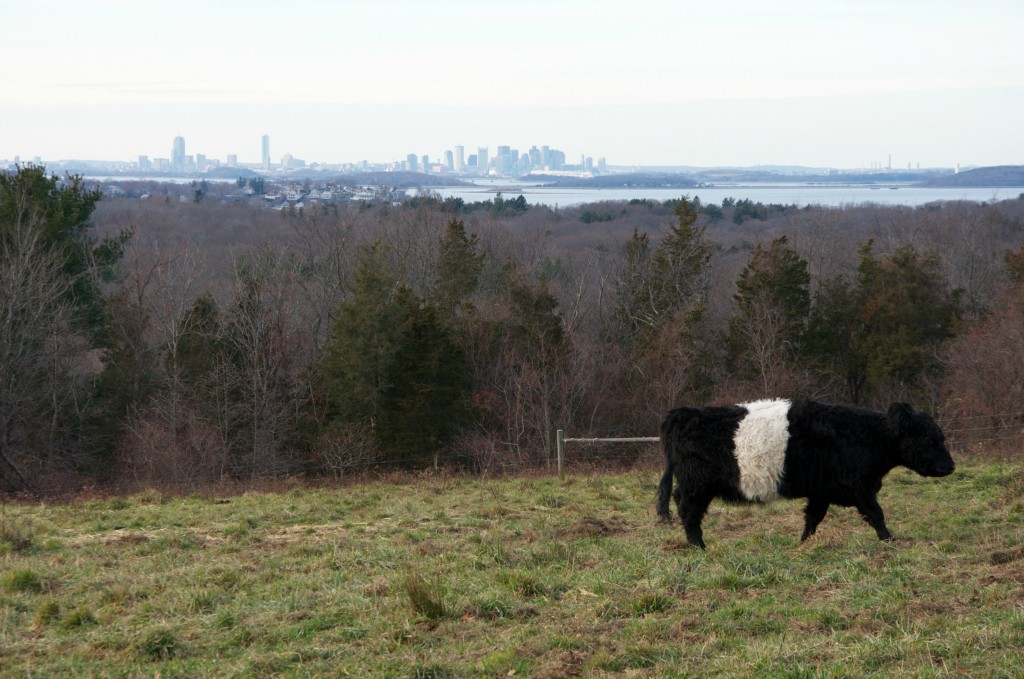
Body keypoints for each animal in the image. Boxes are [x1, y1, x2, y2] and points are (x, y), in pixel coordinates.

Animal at [659, 401, 954, 548]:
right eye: (932, 440)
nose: (951, 467)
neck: (862, 435)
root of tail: (681, 414)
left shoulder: (822, 492)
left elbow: (813, 518)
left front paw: (802, 543)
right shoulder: (859, 487)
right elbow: (876, 514)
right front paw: (890, 541)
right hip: (696, 486)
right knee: (689, 513)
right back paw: (699, 546)